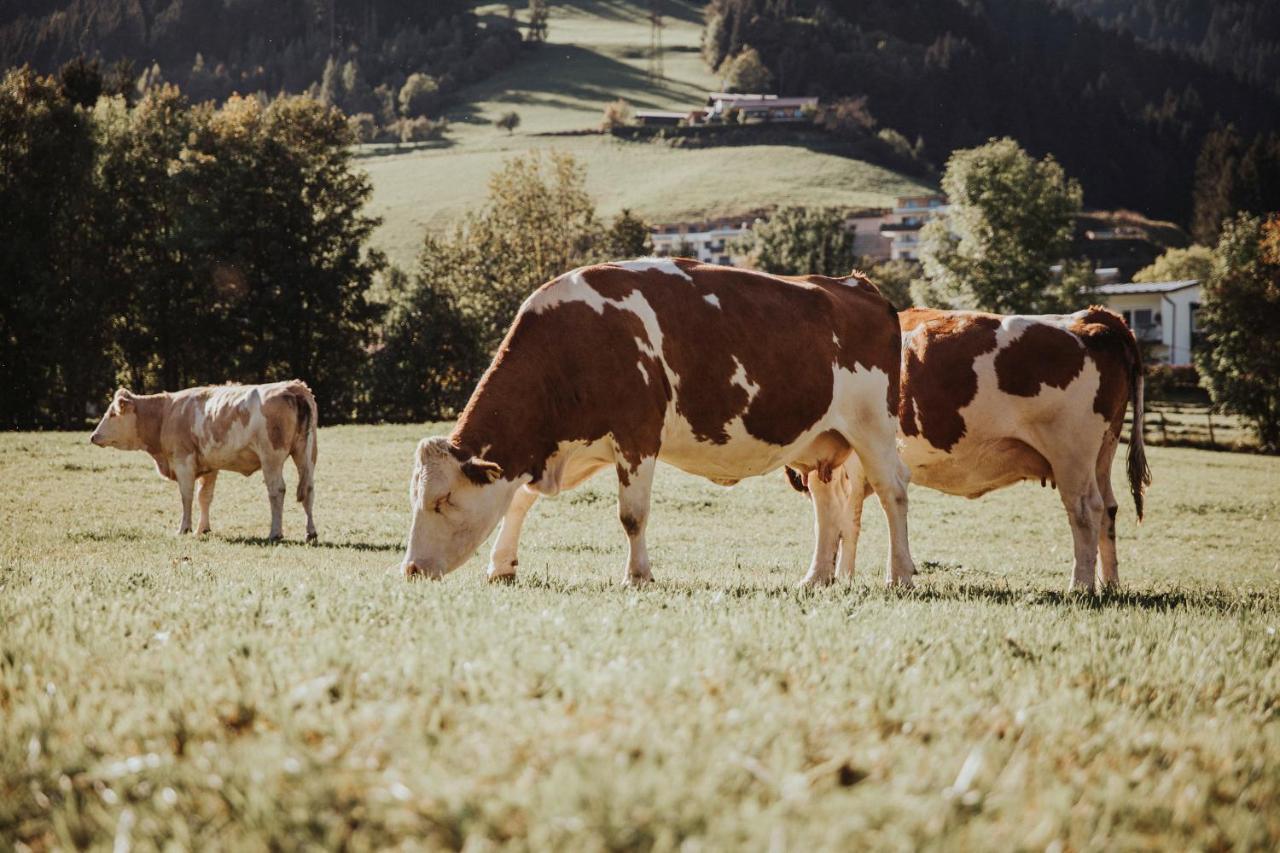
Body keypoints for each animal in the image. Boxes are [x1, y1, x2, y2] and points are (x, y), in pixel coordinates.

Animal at [89, 379, 317, 537]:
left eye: (112, 414)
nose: (93, 436)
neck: (165, 414)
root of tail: (293, 387)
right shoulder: (210, 466)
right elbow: (204, 497)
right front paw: (203, 529)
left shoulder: (183, 461)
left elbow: (187, 495)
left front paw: (184, 528)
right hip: (306, 454)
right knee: (308, 490)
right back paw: (310, 532)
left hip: (271, 458)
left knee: (277, 490)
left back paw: (275, 533)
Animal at [404, 257, 916, 584]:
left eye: (443, 500)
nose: (410, 569)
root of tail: (856, 285)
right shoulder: (568, 446)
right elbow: (520, 501)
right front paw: (502, 566)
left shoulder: (637, 435)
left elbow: (632, 515)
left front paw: (638, 575)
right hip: (819, 440)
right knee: (826, 502)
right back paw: (816, 577)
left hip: (873, 427)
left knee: (893, 493)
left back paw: (900, 574)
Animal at [788, 306, 1152, 591]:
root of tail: (1094, 317)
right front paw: (839, 576)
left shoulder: (850, 464)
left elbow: (842, 521)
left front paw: (832, 577)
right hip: (1102, 453)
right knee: (1109, 509)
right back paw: (1109, 583)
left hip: (1071, 453)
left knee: (1086, 510)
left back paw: (1081, 585)